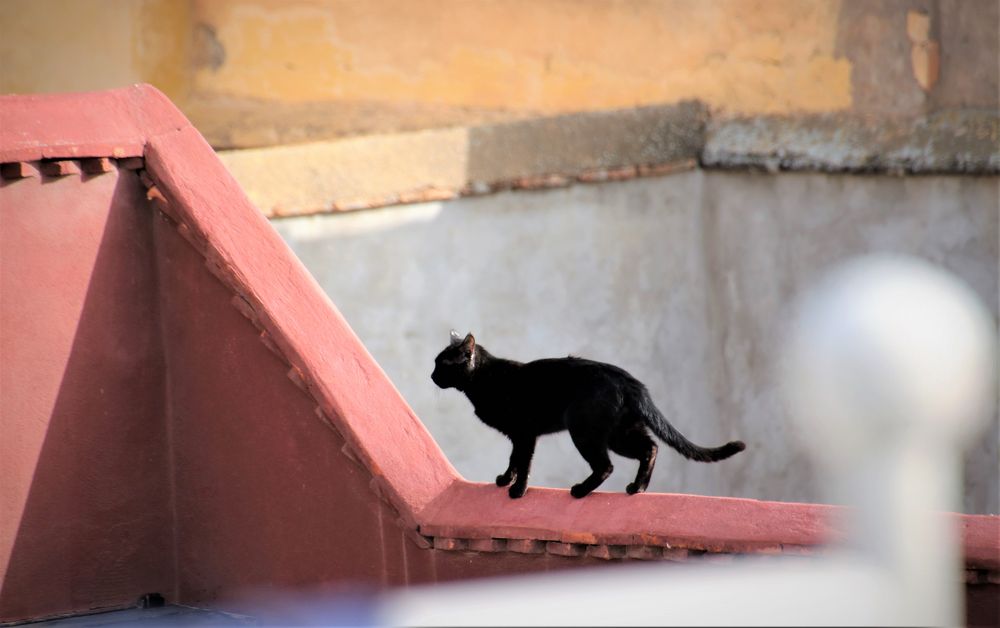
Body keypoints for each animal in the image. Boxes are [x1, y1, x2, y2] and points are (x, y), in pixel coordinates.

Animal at [434, 332, 748, 498]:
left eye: (442, 364)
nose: (431, 376)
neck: (484, 380)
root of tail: (631, 381)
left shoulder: (525, 433)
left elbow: (523, 462)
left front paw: (518, 490)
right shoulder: (517, 436)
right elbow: (513, 460)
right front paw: (504, 480)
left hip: (585, 432)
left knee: (607, 465)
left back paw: (582, 490)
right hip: (619, 434)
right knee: (651, 447)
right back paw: (638, 487)